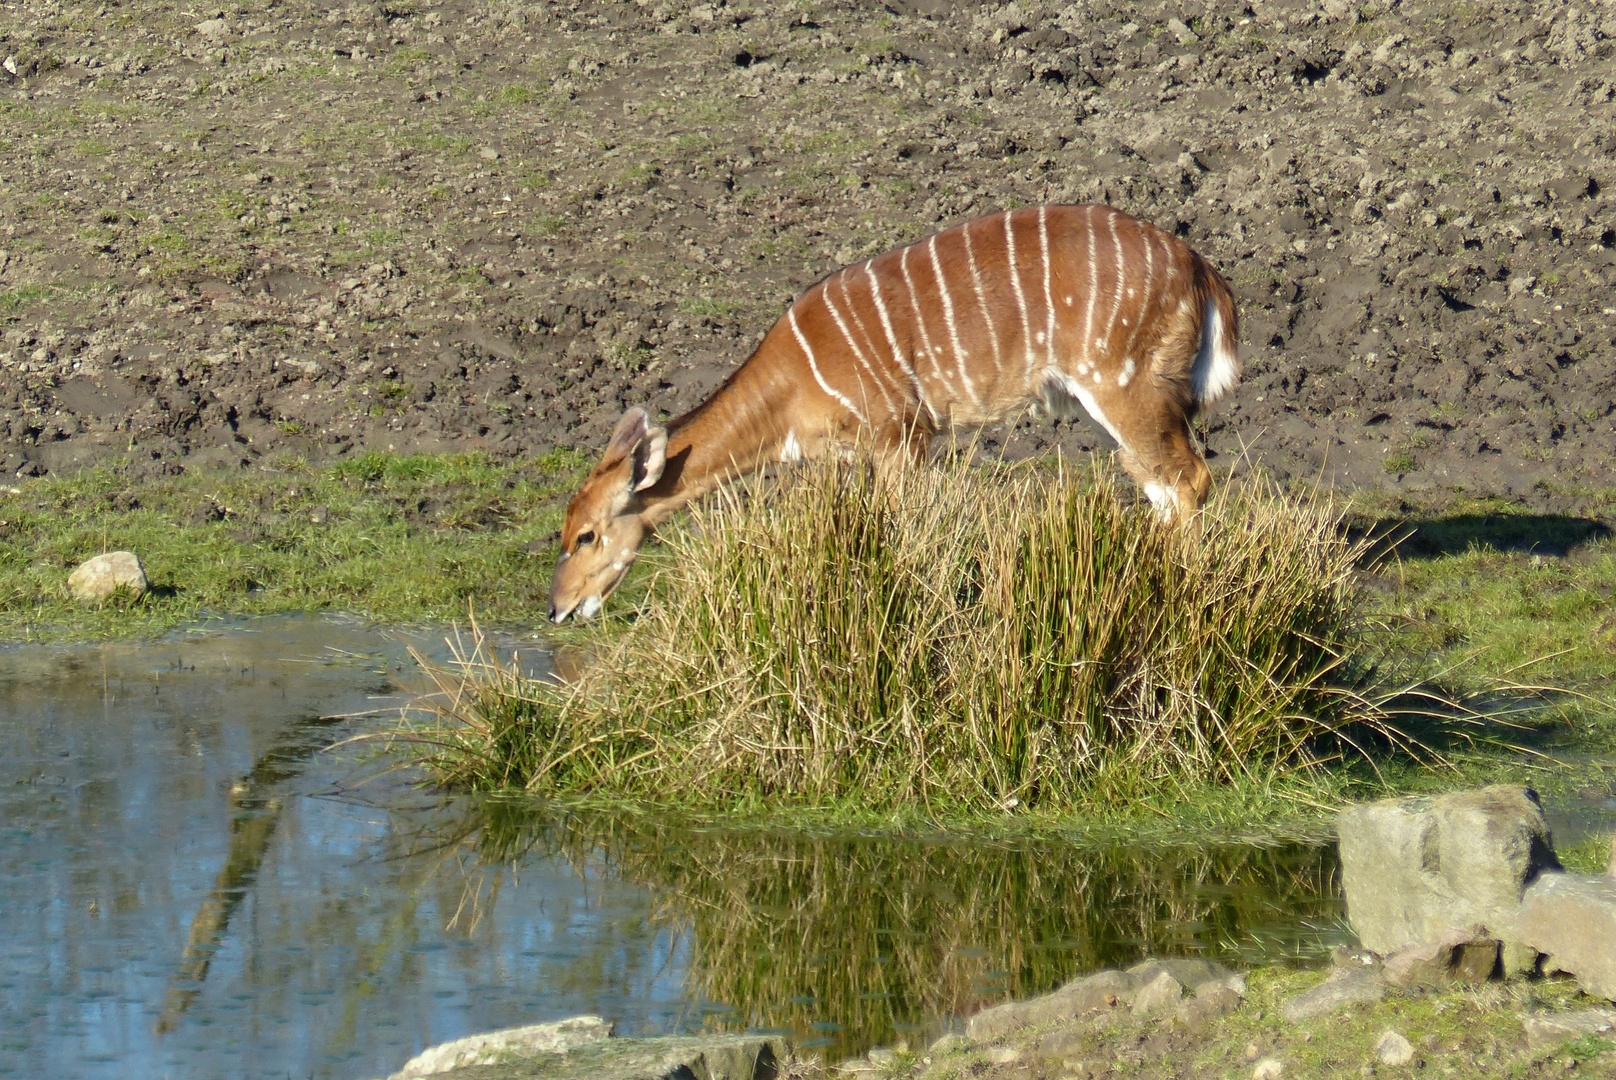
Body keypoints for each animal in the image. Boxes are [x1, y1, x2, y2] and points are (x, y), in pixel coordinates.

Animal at [549, 203, 1241, 624]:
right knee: (1161, 486)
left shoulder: (903, 433)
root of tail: (1199, 269)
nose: (556, 608)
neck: (790, 383)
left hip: (1125, 387)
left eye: (586, 535)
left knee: (1190, 479)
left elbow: (903, 532)